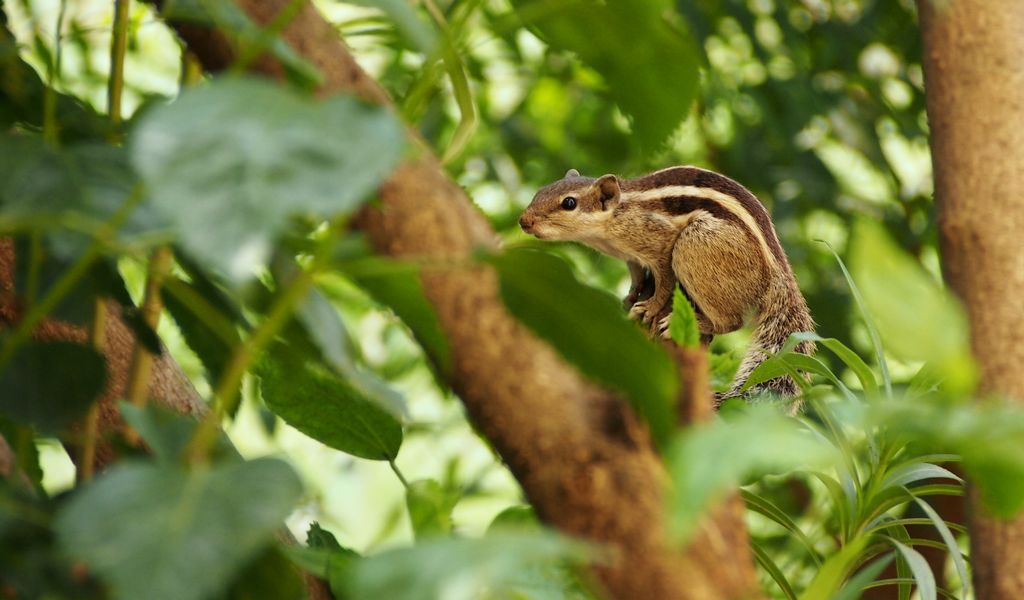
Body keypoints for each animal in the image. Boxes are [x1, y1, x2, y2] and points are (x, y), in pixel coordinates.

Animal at [520, 163, 815, 399]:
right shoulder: (632, 258)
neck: (616, 217)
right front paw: (631, 297)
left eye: (569, 203)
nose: (523, 221)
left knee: (732, 321)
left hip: (694, 246)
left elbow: (664, 282)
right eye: (542, 191)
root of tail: (779, 275)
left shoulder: (660, 247)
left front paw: (649, 308)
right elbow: (637, 276)